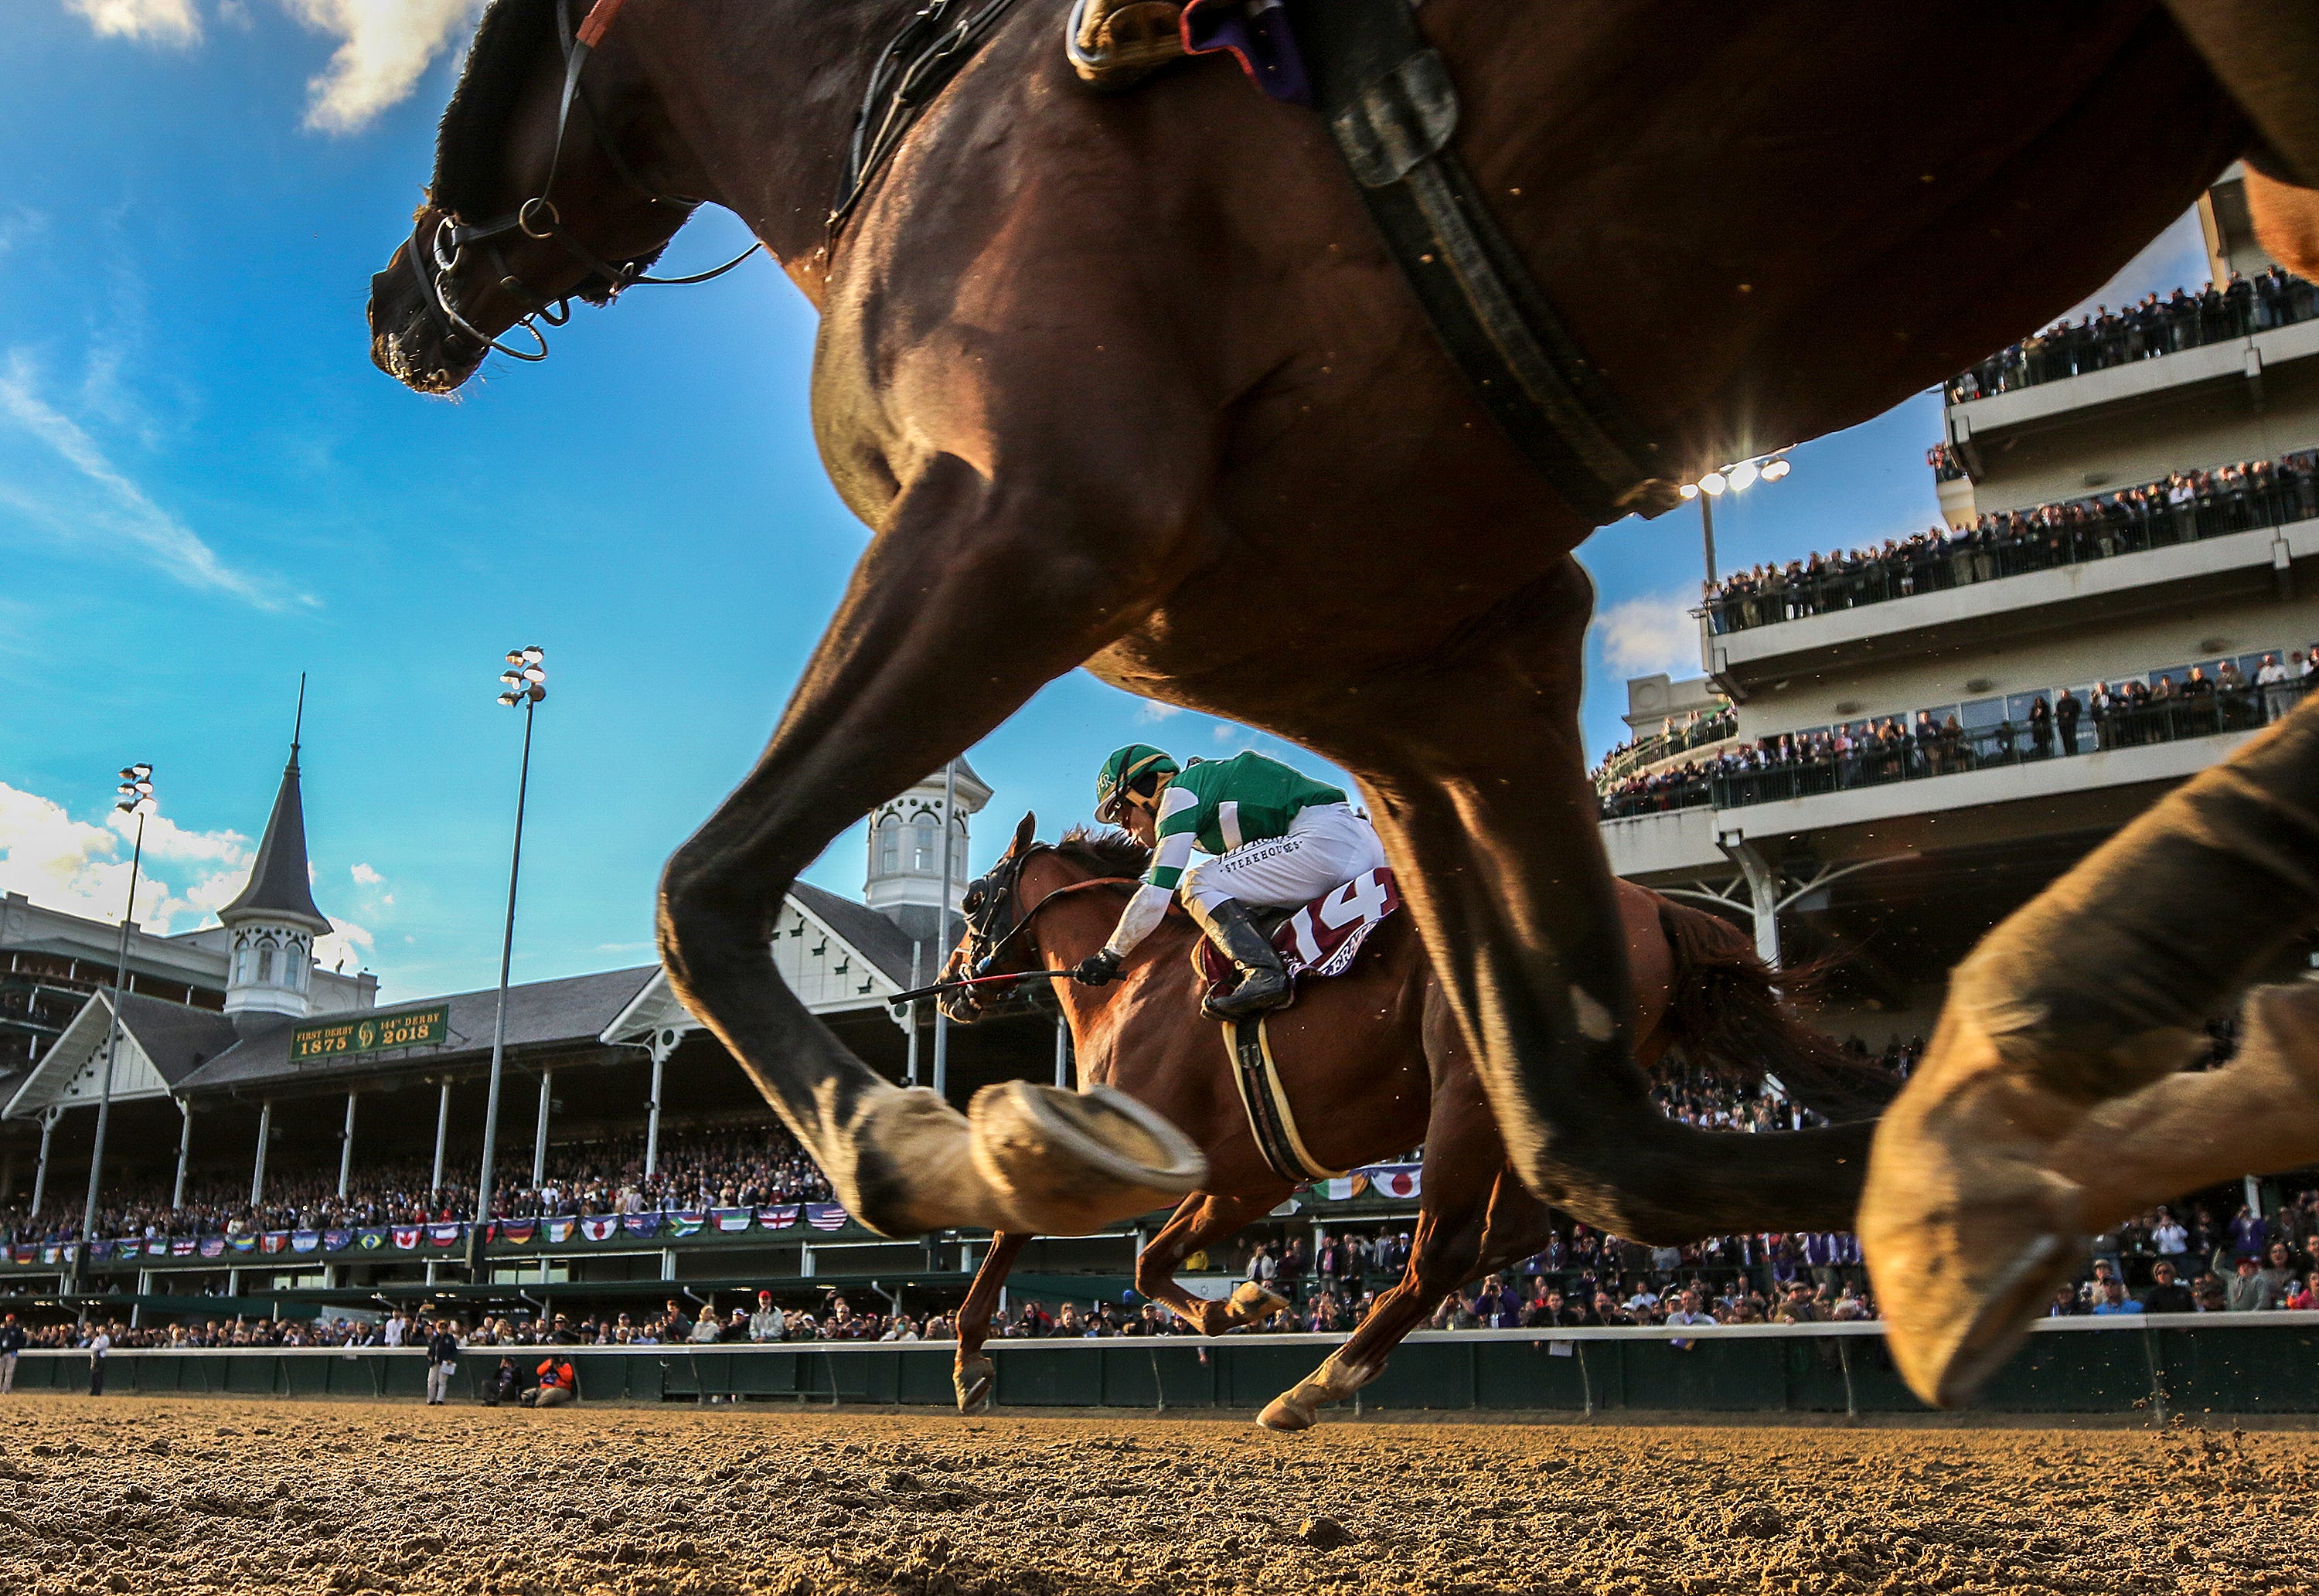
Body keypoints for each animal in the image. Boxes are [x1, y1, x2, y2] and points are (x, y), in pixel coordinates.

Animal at [366, 0, 2319, 1317]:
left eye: (480, 76)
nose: (396, 305)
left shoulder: (1029, 513)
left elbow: (707, 895)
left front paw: (935, 1144)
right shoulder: (1445, 660)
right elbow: (1605, 1137)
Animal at [932, 816, 1874, 1428]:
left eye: (974, 896)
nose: (948, 985)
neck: (1138, 977)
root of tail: (1652, 906)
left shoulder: (1157, 1152)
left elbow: (1044, 1232)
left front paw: (971, 1354)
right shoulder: (1251, 1175)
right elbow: (1152, 1261)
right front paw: (1240, 1302)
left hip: (1467, 1086)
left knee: (1444, 1250)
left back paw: (1317, 1384)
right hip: (1519, 1113)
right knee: (1516, 1232)